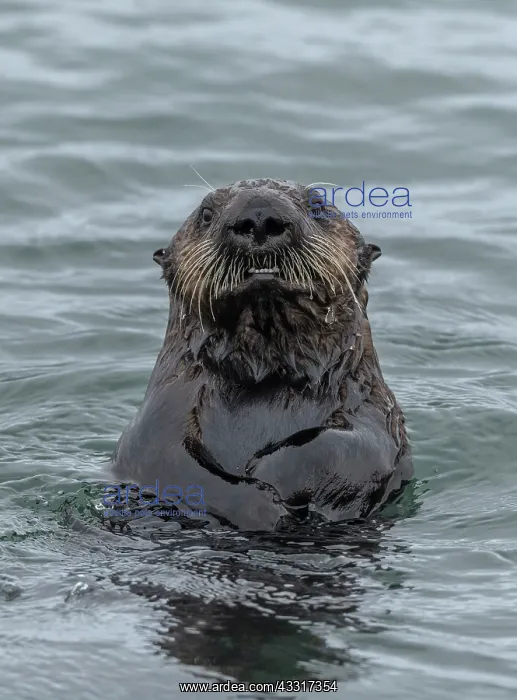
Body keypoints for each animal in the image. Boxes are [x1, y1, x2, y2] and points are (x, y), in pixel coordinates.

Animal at [111, 179, 413, 530]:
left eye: (318, 206)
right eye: (206, 213)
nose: (258, 215)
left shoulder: (375, 412)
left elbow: (357, 450)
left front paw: (270, 472)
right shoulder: (156, 421)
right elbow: (169, 463)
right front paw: (261, 505)